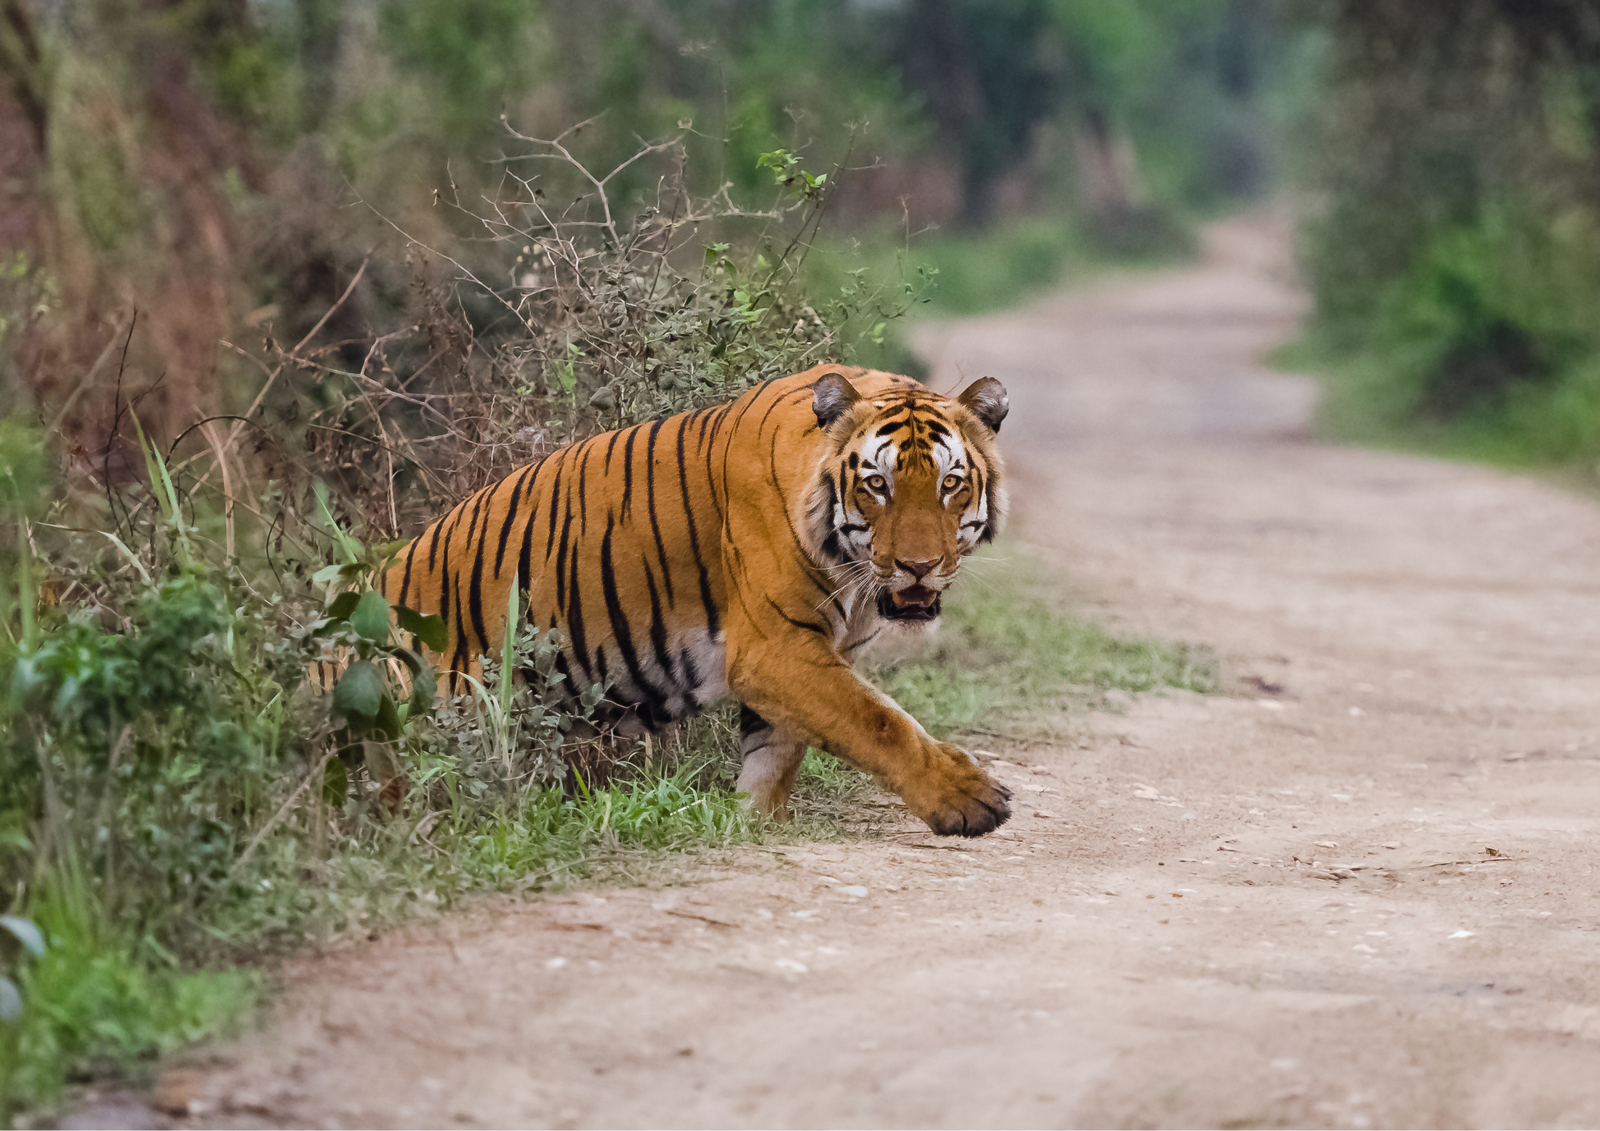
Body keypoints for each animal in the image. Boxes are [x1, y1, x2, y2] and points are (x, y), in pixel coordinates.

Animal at [377, 367, 1011, 838]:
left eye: (950, 484)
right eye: (877, 484)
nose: (919, 566)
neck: (852, 578)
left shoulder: (804, 655)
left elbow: (778, 751)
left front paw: (756, 822)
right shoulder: (773, 648)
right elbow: (878, 721)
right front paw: (969, 798)